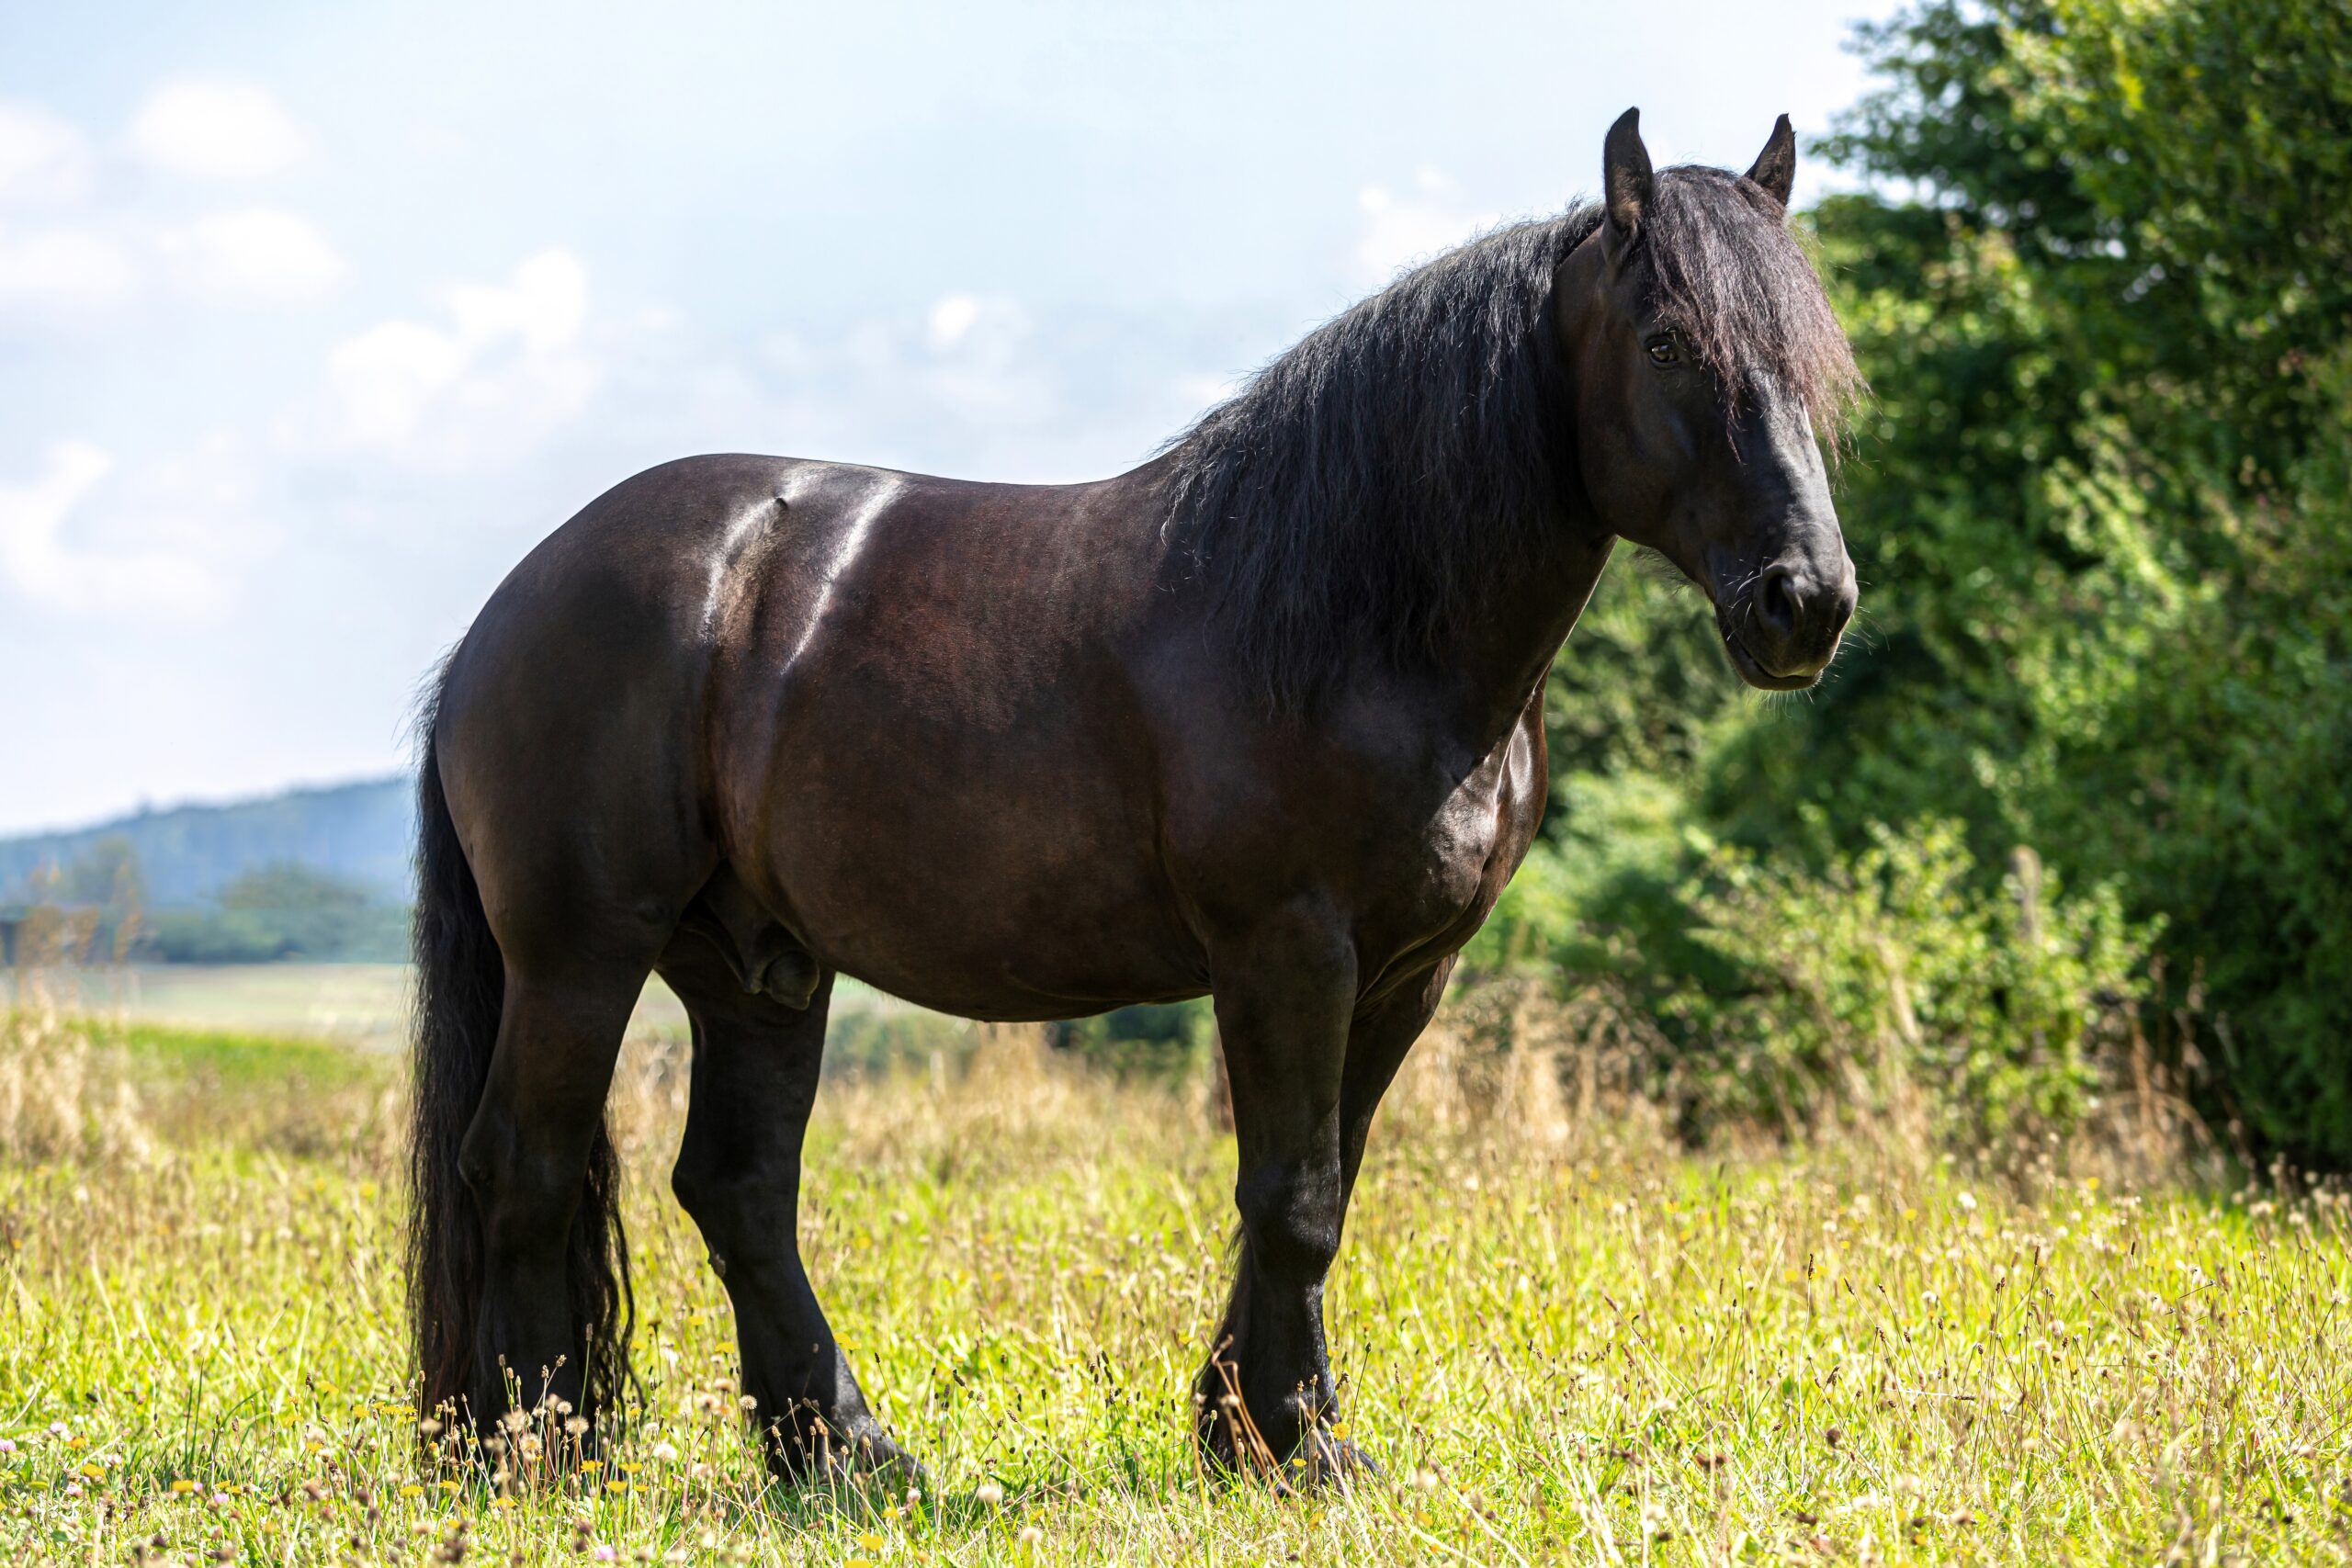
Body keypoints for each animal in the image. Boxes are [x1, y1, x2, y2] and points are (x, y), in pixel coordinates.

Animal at [413, 110, 1862, 1485]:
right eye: (1668, 341)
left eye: (1811, 358)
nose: (1807, 602)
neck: (1353, 616)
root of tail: (501, 612)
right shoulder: (1286, 950)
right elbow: (1292, 1196)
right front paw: (1292, 1442)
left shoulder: (1408, 970)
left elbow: (1324, 1183)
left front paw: (1256, 1430)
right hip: (580, 955)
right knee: (522, 1167)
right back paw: (536, 1453)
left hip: (758, 966)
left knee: (737, 1190)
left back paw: (843, 1455)